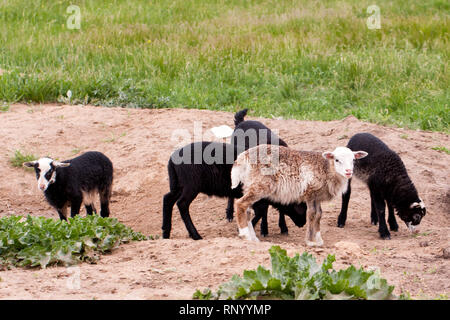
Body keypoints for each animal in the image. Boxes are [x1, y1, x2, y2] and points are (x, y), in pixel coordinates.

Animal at [162, 141, 306, 239]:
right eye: (302, 206)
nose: (303, 223)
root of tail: (172, 159)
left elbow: (263, 211)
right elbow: (260, 212)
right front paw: (244, 229)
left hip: (178, 185)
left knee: (168, 199)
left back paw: (166, 232)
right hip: (191, 185)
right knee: (182, 204)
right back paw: (195, 235)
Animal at [230, 144, 368, 246]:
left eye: (353, 160)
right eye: (337, 160)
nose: (348, 171)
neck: (327, 169)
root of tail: (243, 156)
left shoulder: (317, 196)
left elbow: (319, 215)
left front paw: (318, 240)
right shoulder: (310, 192)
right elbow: (311, 214)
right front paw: (310, 241)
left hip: (250, 184)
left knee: (247, 210)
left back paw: (253, 238)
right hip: (261, 184)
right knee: (241, 204)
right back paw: (245, 235)